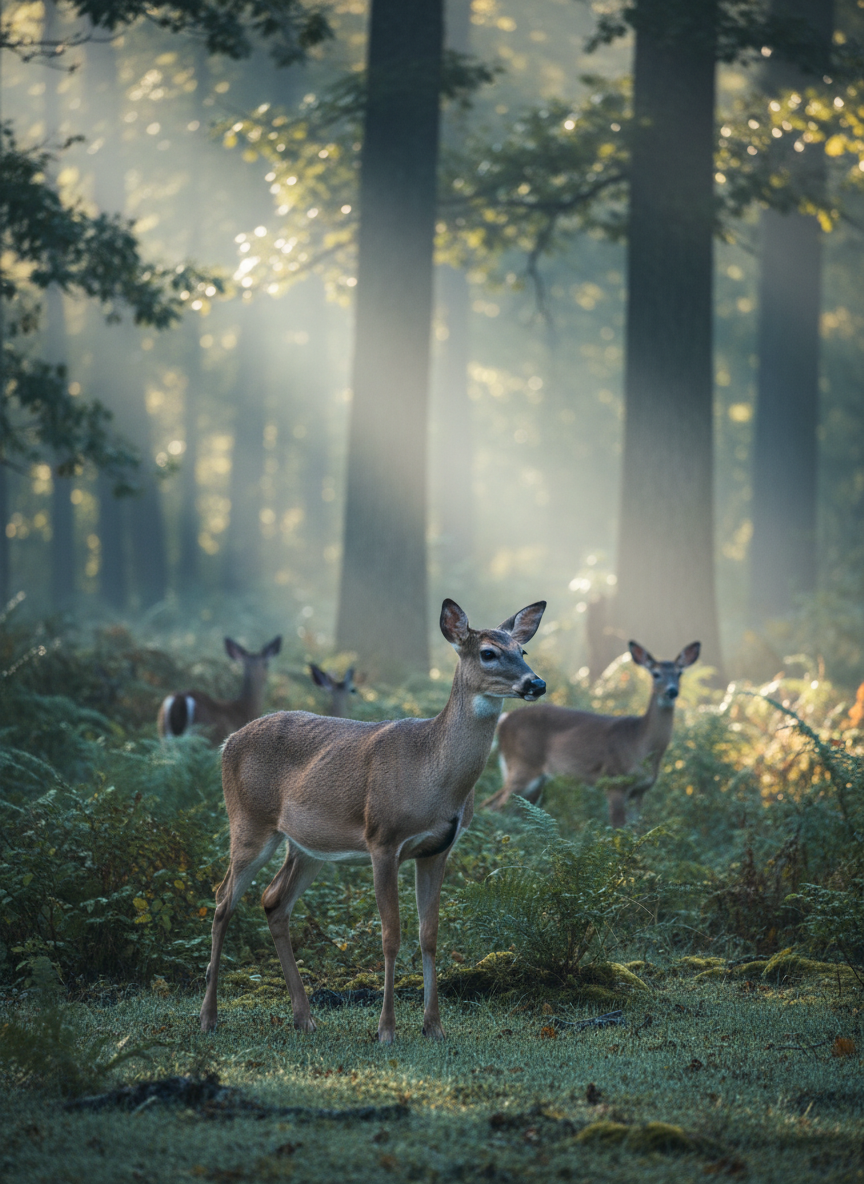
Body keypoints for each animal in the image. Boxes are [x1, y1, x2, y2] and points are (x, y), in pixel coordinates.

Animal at [199, 598, 547, 1044]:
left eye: (523, 650)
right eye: (488, 652)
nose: (536, 683)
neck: (432, 773)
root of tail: (228, 742)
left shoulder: (438, 849)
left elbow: (429, 935)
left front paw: (434, 1026)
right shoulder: (382, 839)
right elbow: (390, 936)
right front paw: (386, 1030)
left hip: (307, 846)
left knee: (274, 901)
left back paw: (304, 1017)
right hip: (248, 822)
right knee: (222, 900)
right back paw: (209, 1017)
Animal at [482, 640, 700, 827]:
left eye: (679, 673)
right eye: (655, 674)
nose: (672, 691)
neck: (640, 743)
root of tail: (504, 720)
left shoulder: (640, 791)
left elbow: (637, 830)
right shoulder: (614, 782)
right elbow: (619, 829)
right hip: (522, 764)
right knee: (495, 806)